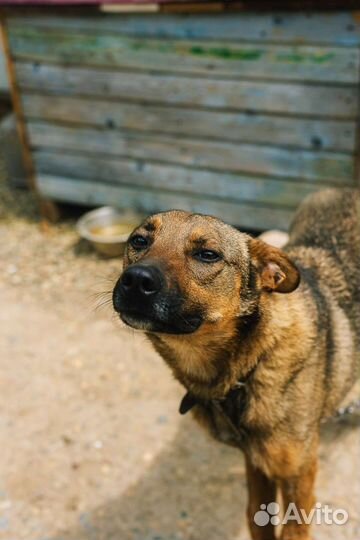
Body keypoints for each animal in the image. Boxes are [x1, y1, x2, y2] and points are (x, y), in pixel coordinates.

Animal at [113, 190, 360, 540]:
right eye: (139, 240)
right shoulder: (256, 463)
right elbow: (258, 518)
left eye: (207, 254)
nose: (135, 280)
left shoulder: (298, 472)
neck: (248, 367)